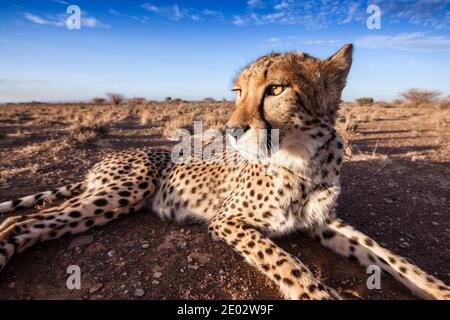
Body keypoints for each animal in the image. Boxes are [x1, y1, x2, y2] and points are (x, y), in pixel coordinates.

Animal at [0, 44, 450, 300]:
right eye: (238, 91)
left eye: (276, 89)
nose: (232, 129)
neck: (304, 157)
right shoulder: (227, 220)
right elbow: (288, 263)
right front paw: (319, 294)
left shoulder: (321, 221)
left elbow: (385, 254)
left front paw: (435, 288)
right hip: (130, 185)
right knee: (24, 220)